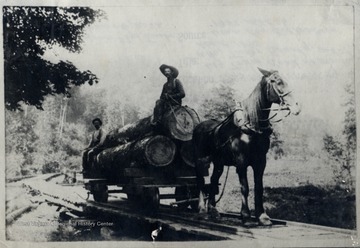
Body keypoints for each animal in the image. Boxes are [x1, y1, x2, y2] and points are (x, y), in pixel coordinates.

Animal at [194, 67, 300, 225]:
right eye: (276, 81)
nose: (296, 107)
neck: (252, 128)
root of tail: (199, 127)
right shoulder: (241, 162)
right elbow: (245, 187)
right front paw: (245, 215)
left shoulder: (261, 162)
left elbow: (259, 187)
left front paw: (262, 216)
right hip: (201, 161)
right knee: (201, 182)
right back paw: (201, 210)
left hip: (218, 163)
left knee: (213, 181)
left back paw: (213, 211)